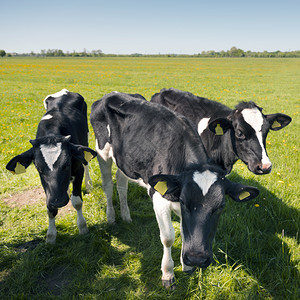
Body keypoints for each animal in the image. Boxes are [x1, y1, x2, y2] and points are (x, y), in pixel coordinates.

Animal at [6, 89, 96, 244]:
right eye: (38, 168)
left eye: (67, 164)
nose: (58, 200)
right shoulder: (46, 186)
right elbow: (50, 209)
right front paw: (51, 236)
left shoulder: (77, 170)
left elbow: (77, 202)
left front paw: (83, 227)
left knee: (86, 163)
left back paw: (88, 185)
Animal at [90, 92, 258, 290]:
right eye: (185, 201)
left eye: (221, 206)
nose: (197, 259)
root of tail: (111, 94)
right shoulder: (159, 198)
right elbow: (168, 237)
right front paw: (168, 273)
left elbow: (185, 232)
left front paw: (187, 265)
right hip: (102, 152)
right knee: (108, 184)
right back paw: (111, 217)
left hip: (124, 160)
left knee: (121, 181)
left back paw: (126, 216)